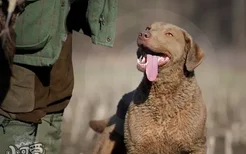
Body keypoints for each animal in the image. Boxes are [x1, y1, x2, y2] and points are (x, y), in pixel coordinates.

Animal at [89, 22, 207, 154]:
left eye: (169, 34)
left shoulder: (196, 146)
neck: (163, 95)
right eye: (148, 28)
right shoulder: (137, 146)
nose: (142, 34)